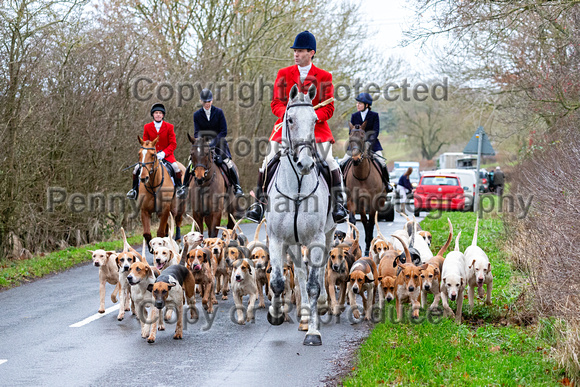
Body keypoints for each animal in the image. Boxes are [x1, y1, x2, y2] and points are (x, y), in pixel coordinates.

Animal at [264, 83, 336, 348]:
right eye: (290, 119)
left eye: (315, 120)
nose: (305, 163)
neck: (296, 187)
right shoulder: (276, 239)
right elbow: (277, 281)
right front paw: (275, 315)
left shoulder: (315, 239)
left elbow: (314, 284)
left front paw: (313, 333)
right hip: (293, 241)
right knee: (300, 270)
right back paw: (304, 314)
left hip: (328, 234)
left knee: (321, 266)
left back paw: (319, 308)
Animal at [344, 123, 386, 256]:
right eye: (350, 138)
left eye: (362, 138)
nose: (356, 158)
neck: (362, 175)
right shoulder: (352, 198)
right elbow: (354, 220)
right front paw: (353, 243)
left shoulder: (373, 200)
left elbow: (371, 221)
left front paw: (368, 247)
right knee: (363, 219)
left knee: (370, 221)